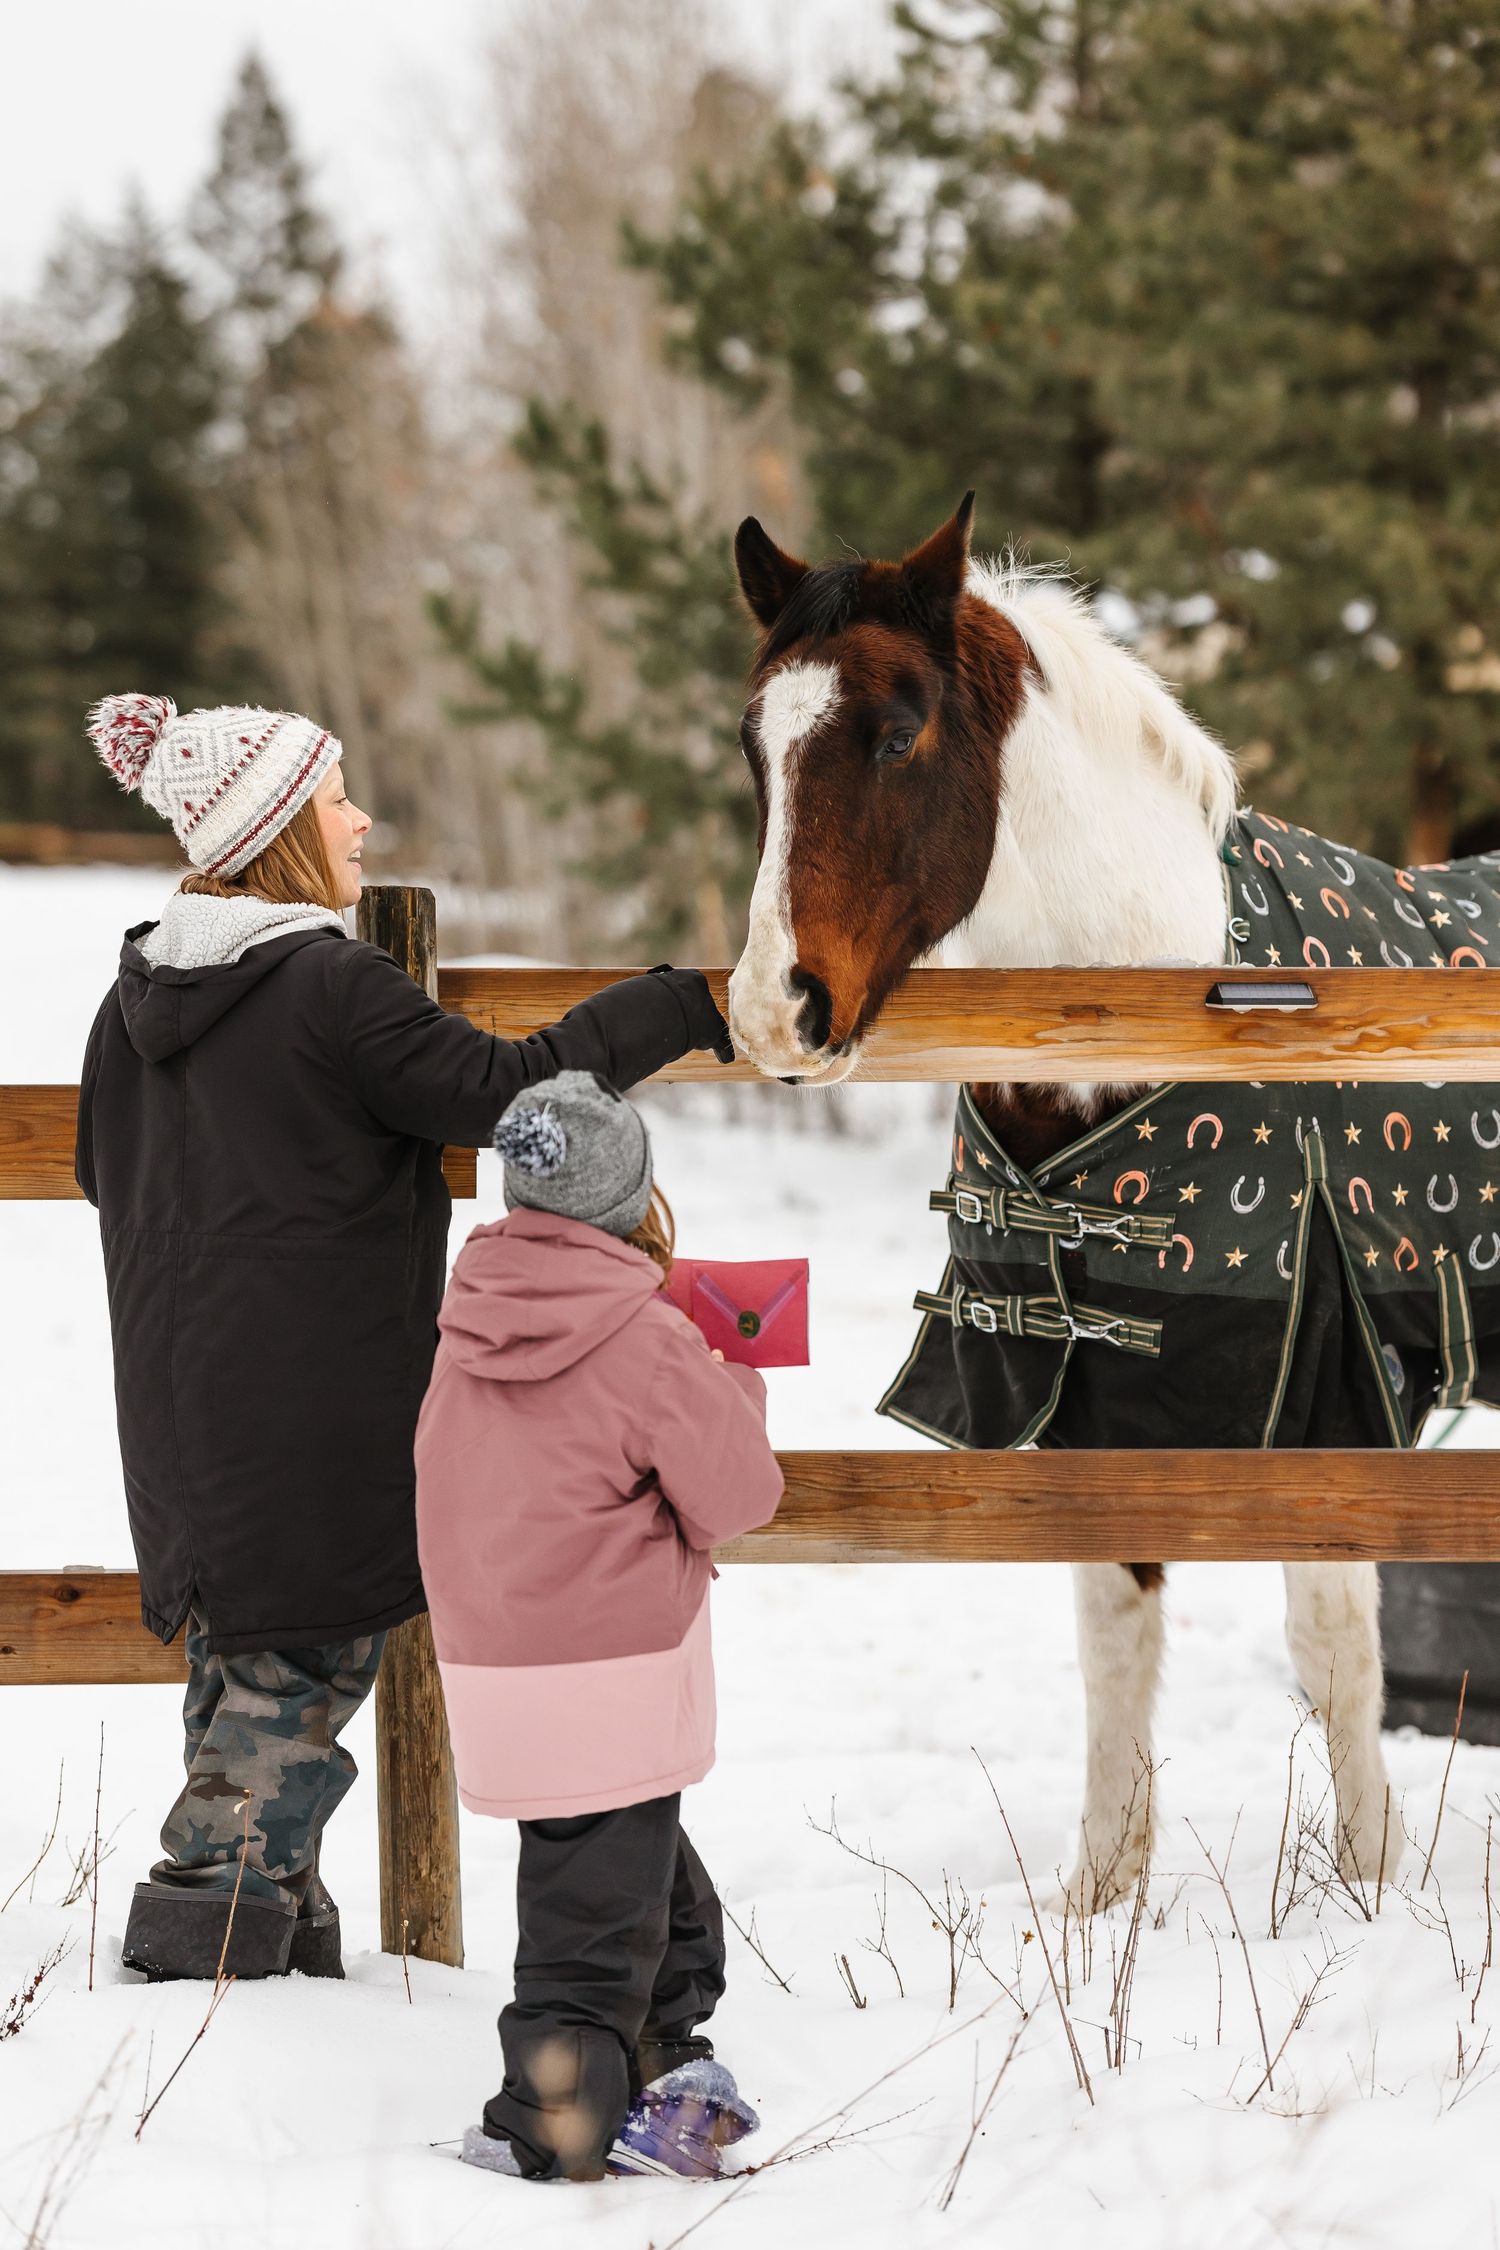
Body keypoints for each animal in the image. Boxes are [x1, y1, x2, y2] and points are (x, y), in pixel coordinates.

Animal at [724, 494, 1499, 1912]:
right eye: (757, 740)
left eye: (899, 731)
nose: (774, 1014)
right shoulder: (1090, 1392)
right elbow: (1113, 1633)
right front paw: (1102, 1904)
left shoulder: (1328, 1395)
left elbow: (1334, 1645)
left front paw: (1370, 1889)